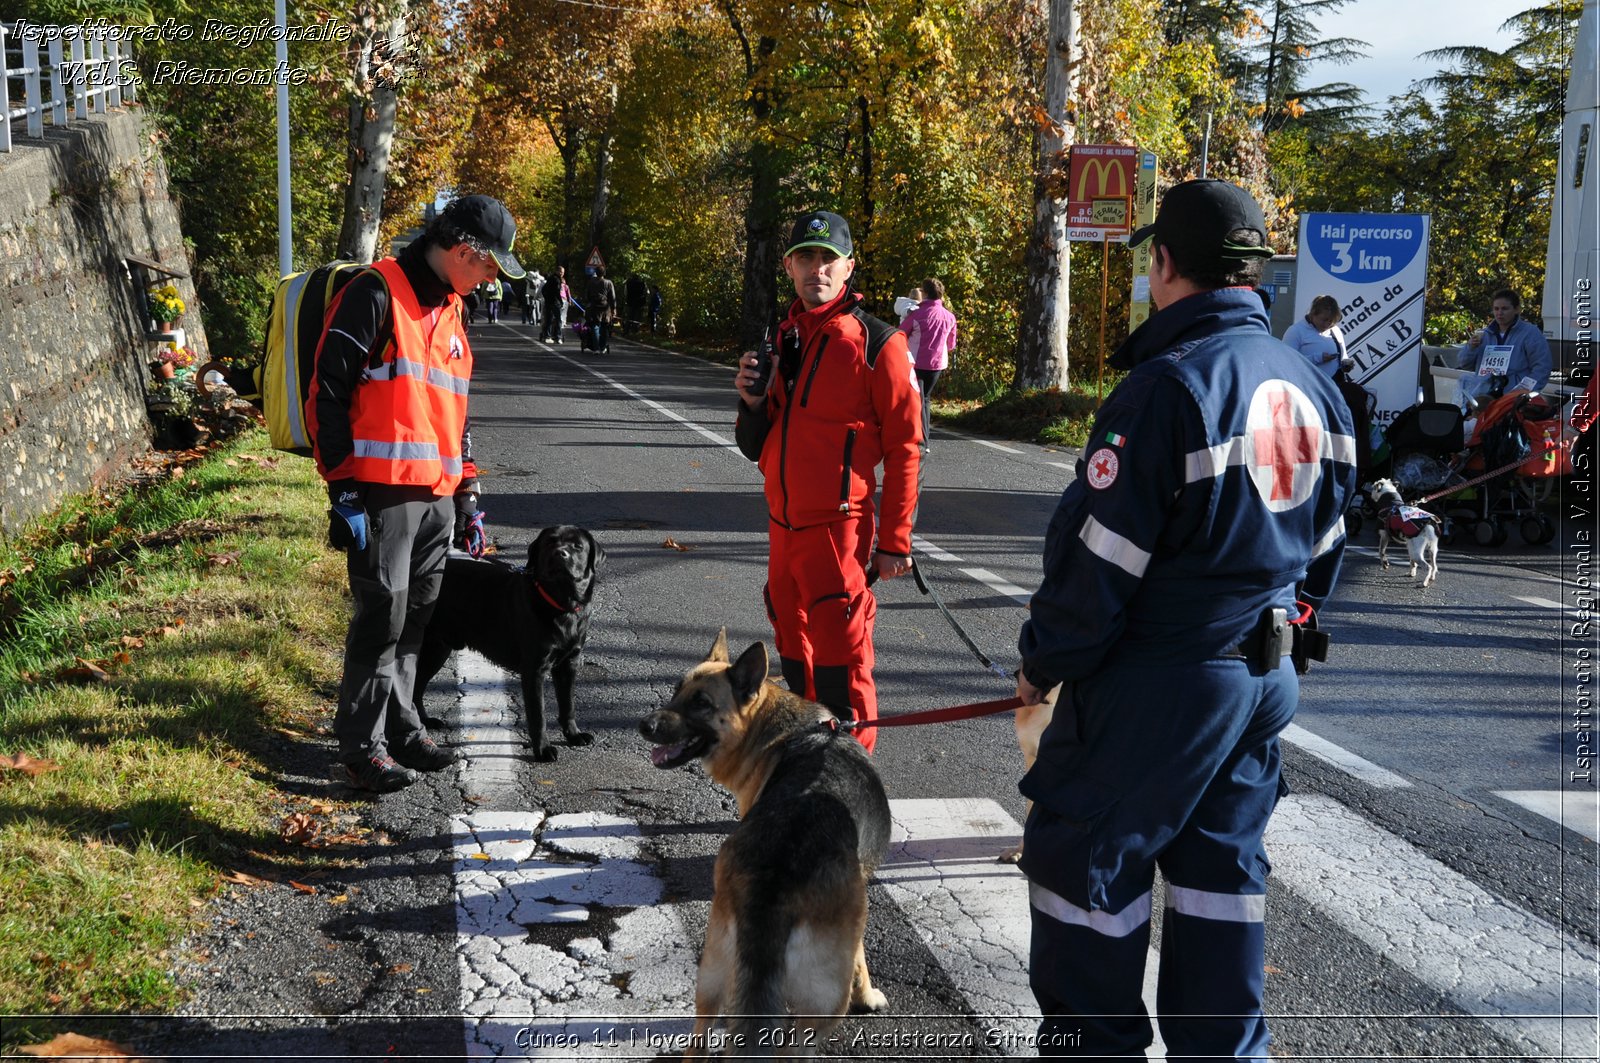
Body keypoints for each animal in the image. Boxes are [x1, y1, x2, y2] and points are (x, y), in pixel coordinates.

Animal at [412, 525, 604, 758]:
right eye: (550, 542)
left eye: (577, 546)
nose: (560, 553)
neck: (560, 604)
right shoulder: (534, 669)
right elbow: (538, 715)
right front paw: (543, 750)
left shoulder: (569, 663)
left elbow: (568, 705)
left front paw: (574, 735)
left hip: (436, 650)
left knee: (415, 688)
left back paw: (426, 722)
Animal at [636, 630, 889, 1056]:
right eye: (676, 692)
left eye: (700, 702)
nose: (643, 724)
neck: (785, 731)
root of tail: (775, 878)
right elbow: (861, 957)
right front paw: (866, 994)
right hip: (817, 1007)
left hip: (716, 971)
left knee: (702, 1039)